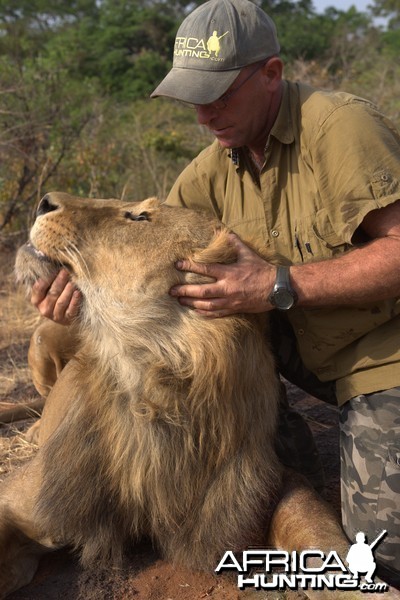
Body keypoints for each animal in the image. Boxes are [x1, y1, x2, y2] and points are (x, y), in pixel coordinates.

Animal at [0, 195, 394, 596]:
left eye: (138, 217)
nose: (44, 201)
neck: (154, 390)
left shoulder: (254, 485)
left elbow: (313, 527)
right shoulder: (27, 496)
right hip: (43, 336)